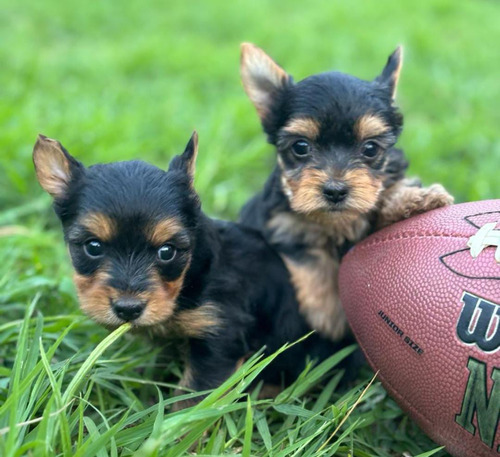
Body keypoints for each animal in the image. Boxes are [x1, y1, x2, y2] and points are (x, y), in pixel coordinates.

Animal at [238, 44, 454, 340]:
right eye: (300, 147)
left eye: (371, 148)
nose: (335, 190)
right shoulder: (284, 227)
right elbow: (311, 255)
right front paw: (328, 313)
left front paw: (415, 198)